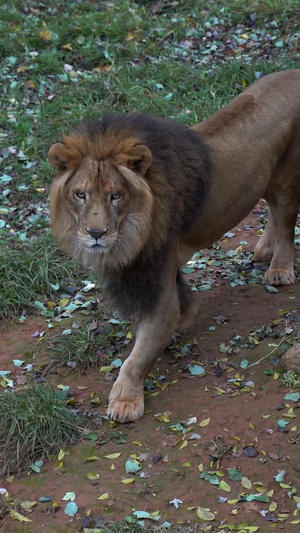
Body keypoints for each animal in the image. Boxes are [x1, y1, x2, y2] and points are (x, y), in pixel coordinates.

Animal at [49, 68, 300, 422]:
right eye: (80, 194)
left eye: (116, 195)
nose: (96, 233)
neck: (131, 233)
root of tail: (294, 72)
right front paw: (185, 318)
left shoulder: (157, 282)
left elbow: (139, 354)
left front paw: (125, 400)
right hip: (263, 178)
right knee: (273, 208)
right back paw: (264, 248)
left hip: (289, 176)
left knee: (287, 217)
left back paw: (279, 268)